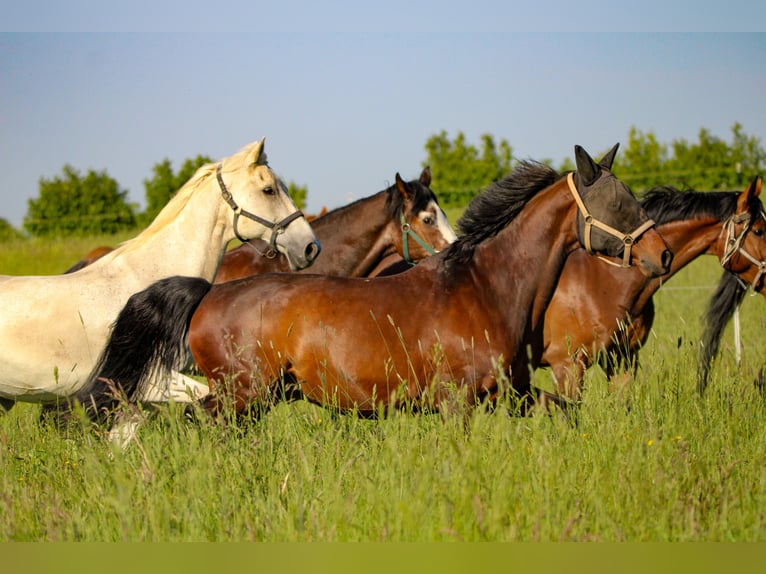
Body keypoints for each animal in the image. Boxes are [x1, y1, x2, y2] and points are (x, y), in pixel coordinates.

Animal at [78, 144, 676, 424]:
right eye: (618, 204)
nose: (662, 254)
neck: (485, 286)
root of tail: (210, 292)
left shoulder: (513, 394)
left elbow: (567, 414)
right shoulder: (456, 404)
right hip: (237, 398)